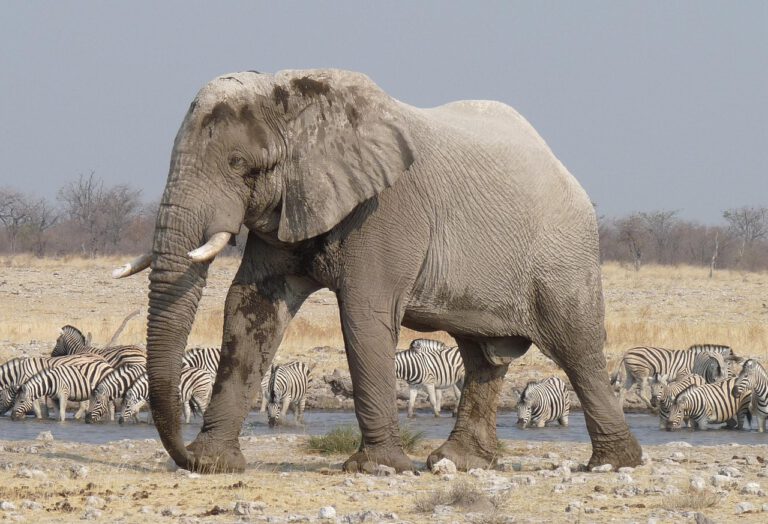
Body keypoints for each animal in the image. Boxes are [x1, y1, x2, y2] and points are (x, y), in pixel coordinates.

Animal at [114, 68, 642, 474]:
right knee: (483, 357)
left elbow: (365, 312)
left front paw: (379, 469)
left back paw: (614, 464)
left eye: (239, 163)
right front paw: (214, 465)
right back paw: (456, 462)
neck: (297, 99)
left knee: (577, 349)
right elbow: (251, 307)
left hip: (564, 254)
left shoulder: (386, 208)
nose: (182, 455)